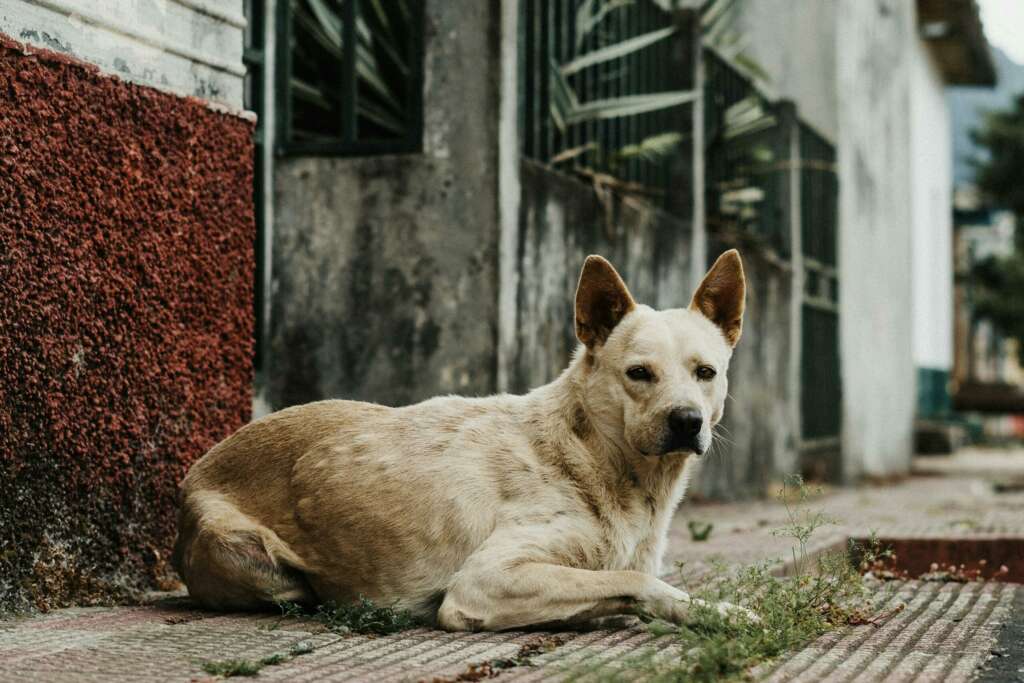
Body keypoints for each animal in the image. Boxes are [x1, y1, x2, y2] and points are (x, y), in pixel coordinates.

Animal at [174, 249, 753, 630]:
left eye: (705, 372)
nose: (687, 421)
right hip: (252, 557)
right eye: (638, 373)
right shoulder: (486, 581)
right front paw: (711, 610)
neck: (595, 456)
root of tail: (194, 473)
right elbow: (632, 582)